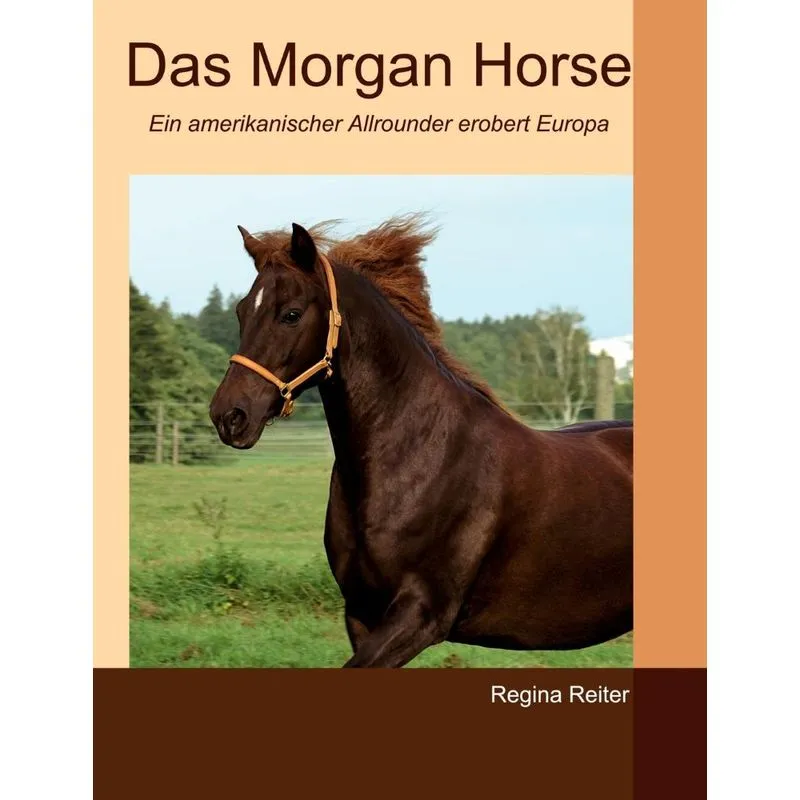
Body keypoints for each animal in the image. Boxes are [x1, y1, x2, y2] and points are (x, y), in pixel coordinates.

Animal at [209, 215, 633, 668]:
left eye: (290, 314)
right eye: (241, 311)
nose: (229, 416)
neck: (421, 455)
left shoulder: (422, 614)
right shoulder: (362, 613)